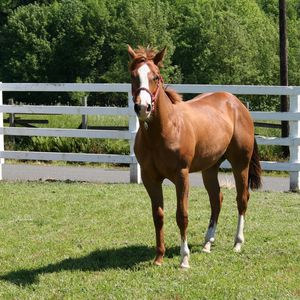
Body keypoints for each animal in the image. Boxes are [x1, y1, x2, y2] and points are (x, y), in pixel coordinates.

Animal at [127, 45, 262, 270]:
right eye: (133, 76)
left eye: (156, 76)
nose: (143, 107)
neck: (164, 130)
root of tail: (237, 104)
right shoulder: (149, 177)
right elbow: (158, 215)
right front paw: (159, 257)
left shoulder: (182, 176)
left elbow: (182, 215)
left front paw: (184, 259)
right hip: (210, 168)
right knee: (217, 200)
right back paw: (207, 243)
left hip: (240, 164)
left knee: (242, 199)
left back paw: (237, 243)